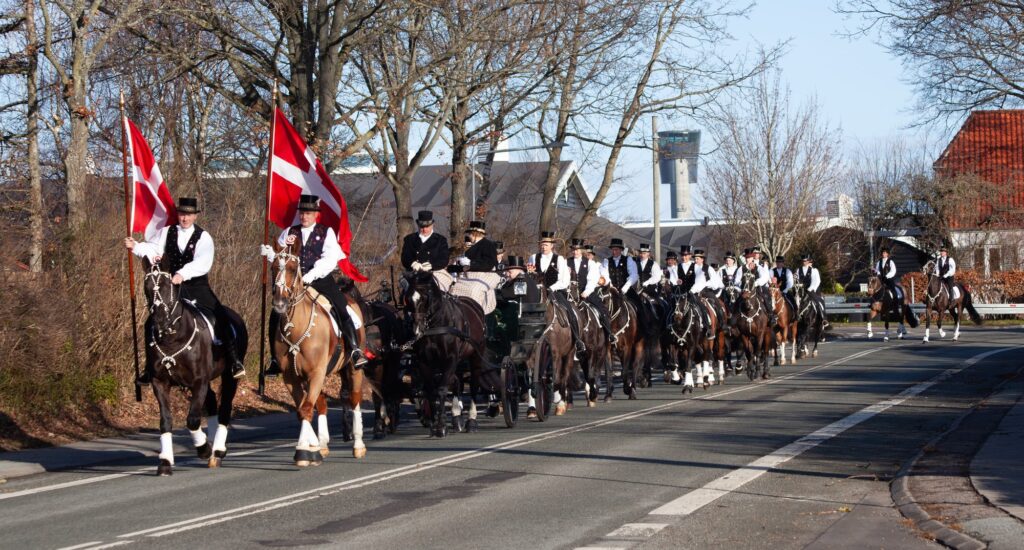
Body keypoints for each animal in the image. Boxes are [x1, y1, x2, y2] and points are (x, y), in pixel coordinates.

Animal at [141, 259, 246, 473]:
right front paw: (165, 461)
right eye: (147, 288)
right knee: (213, 401)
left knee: (224, 409)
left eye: (168, 286)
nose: (160, 321)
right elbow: (165, 421)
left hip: (229, 377)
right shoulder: (160, 382)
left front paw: (204, 448)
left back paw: (218, 450)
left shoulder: (199, 382)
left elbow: (192, 420)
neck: (173, 337)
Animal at [272, 242, 368, 460]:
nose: (280, 303)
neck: (295, 328)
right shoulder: (292, 377)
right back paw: (322, 444)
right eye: (273, 267)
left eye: (292, 268)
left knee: (355, 399)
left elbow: (307, 408)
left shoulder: (316, 372)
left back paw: (358, 444)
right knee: (322, 403)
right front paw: (312, 447)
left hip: (353, 369)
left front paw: (302, 451)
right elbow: (303, 409)